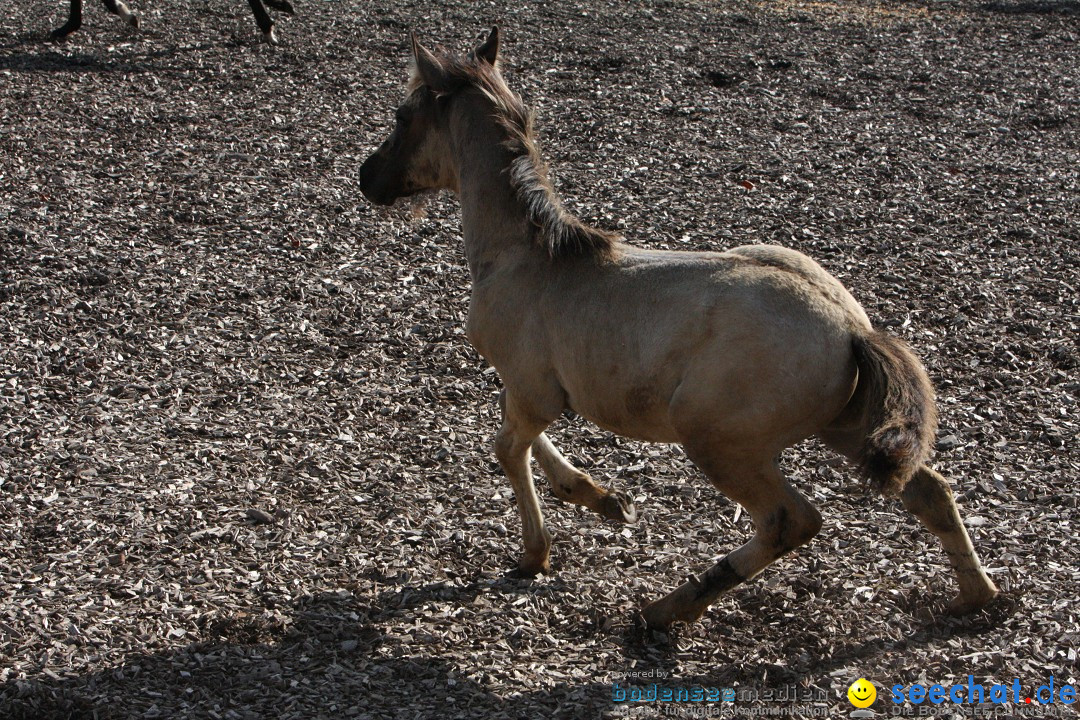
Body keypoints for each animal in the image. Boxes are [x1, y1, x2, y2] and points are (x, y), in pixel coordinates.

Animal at [358, 25, 997, 626]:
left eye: (403, 115)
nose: (368, 176)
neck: (528, 255)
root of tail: (852, 331)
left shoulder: (532, 387)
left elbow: (508, 448)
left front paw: (536, 555)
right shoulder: (533, 387)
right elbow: (525, 438)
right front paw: (602, 498)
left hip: (716, 438)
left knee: (790, 520)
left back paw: (666, 610)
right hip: (843, 425)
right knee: (930, 490)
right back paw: (979, 597)